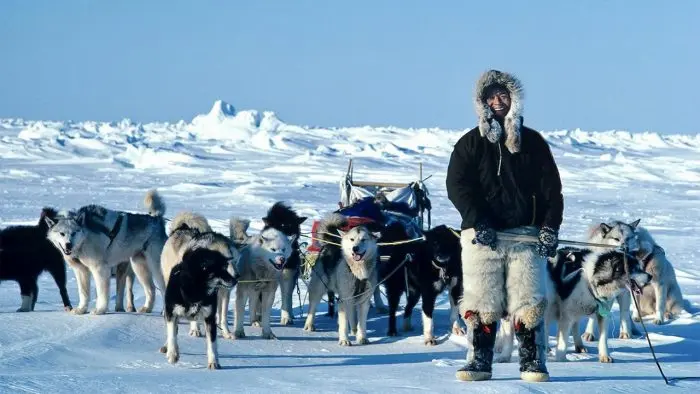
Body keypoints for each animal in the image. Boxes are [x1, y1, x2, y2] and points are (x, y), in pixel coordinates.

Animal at [300, 214, 378, 346]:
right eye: (352, 239)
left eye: (363, 239)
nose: (355, 248)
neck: (358, 273)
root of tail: (330, 242)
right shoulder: (344, 299)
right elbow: (343, 323)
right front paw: (344, 340)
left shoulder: (364, 301)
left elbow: (362, 323)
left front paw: (361, 337)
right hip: (318, 288)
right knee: (312, 307)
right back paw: (309, 324)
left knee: (352, 314)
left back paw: (354, 330)